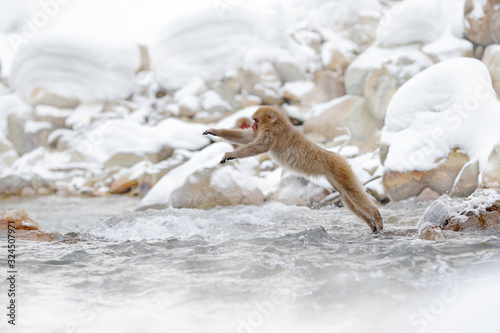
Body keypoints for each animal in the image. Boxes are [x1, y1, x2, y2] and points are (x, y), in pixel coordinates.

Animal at [203, 105, 382, 231]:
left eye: (256, 120)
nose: (253, 127)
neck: (277, 121)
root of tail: (337, 156)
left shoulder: (272, 132)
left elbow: (258, 147)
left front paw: (230, 153)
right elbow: (248, 138)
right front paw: (215, 131)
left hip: (340, 170)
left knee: (353, 192)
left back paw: (377, 216)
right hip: (334, 177)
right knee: (346, 196)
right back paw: (370, 222)